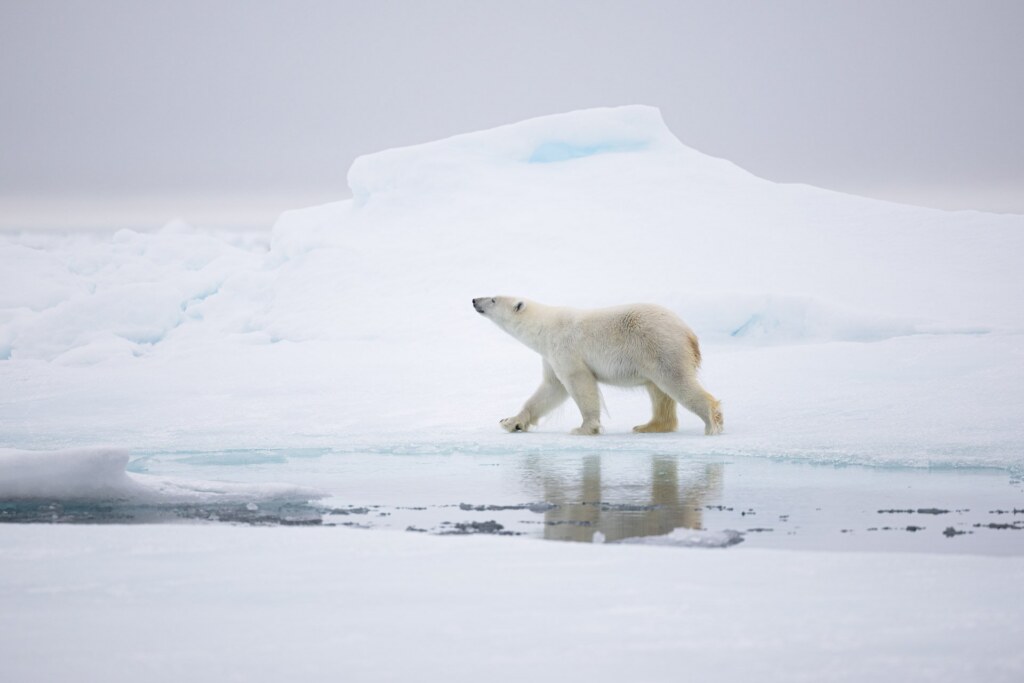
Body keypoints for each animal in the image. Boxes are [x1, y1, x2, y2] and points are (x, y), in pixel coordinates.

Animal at [472, 296, 723, 436]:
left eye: (493, 299)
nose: (474, 300)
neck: (544, 327)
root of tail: (690, 333)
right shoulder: (550, 356)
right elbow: (551, 389)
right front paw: (510, 421)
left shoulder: (566, 348)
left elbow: (579, 383)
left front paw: (583, 428)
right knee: (659, 392)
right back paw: (648, 426)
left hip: (660, 346)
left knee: (676, 382)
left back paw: (711, 423)